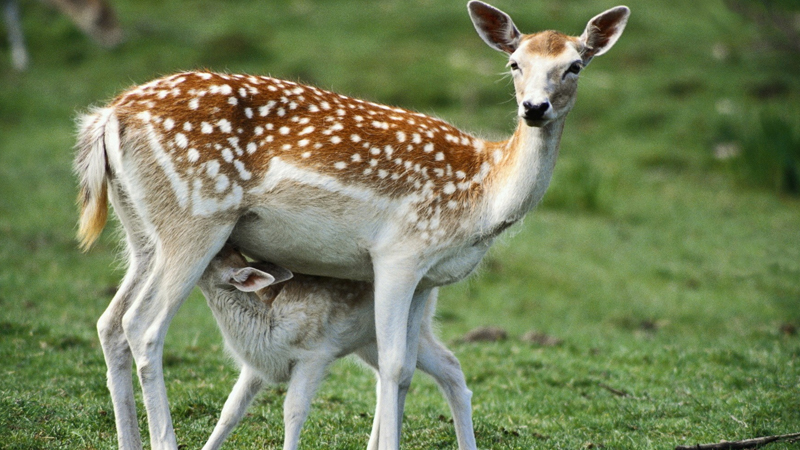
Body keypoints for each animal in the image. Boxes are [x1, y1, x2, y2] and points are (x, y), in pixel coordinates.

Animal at [198, 246, 478, 450]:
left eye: (218, 253)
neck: (268, 326)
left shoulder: (314, 355)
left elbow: (293, 411)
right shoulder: (256, 366)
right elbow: (230, 411)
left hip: (415, 327)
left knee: (449, 364)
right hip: (368, 342)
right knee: (387, 378)